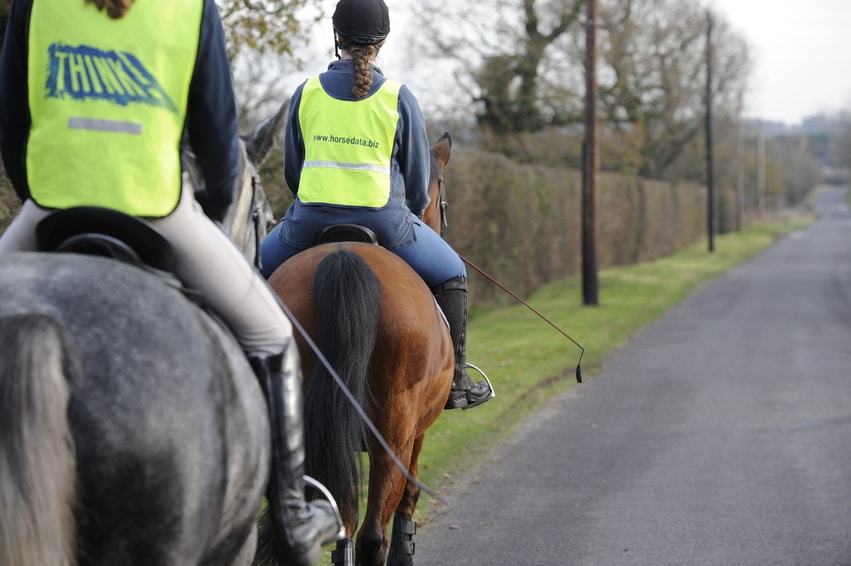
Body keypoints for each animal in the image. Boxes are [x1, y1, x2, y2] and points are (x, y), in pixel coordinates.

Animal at [262, 134, 456, 566]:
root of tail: (344, 257)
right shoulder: (416, 435)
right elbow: (409, 500)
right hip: (392, 434)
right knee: (371, 535)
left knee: (339, 521)